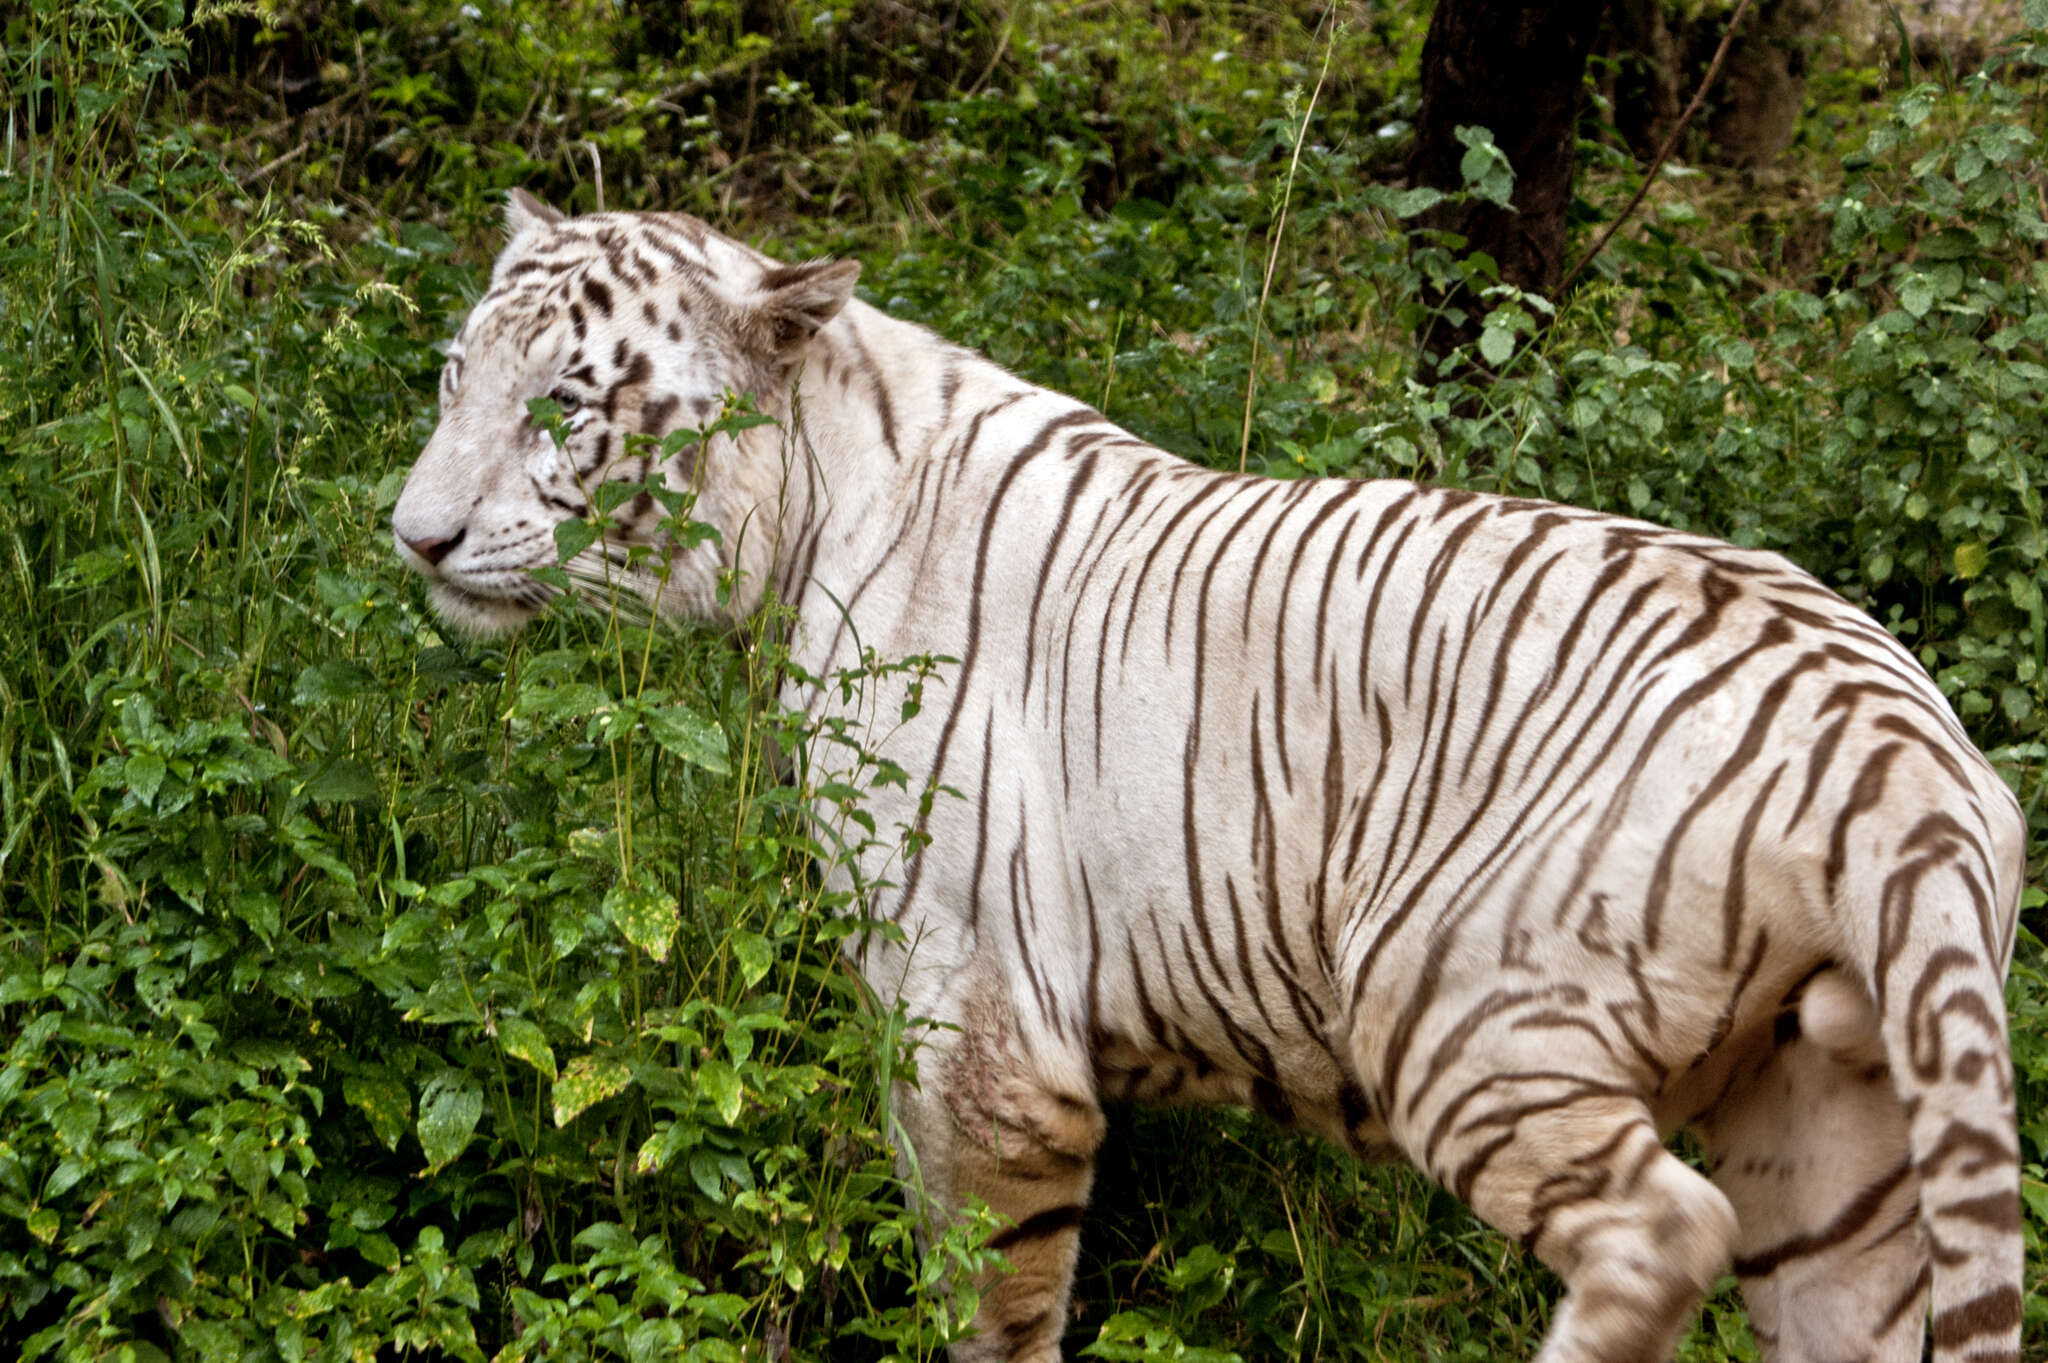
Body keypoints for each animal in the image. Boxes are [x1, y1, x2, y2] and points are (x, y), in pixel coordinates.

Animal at [391, 191, 2023, 1358]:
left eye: (562, 407)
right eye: (456, 377)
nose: (412, 537)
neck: (807, 506)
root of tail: (1899, 751)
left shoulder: (979, 1028)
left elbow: (987, 1300)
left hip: (1453, 999)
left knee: (1658, 1228)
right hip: (1833, 1132)